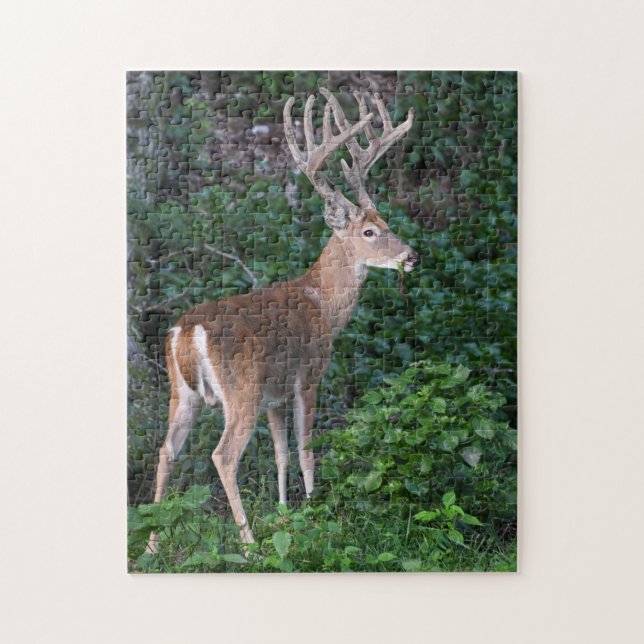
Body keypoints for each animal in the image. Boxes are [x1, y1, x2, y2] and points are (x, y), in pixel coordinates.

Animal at [145, 88, 419, 552]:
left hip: (183, 394)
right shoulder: (306, 377)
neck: (322, 304)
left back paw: (150, 544)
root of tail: (188, 331)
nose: (412, 255)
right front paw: (313, 510)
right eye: (369, 232)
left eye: (387, 222)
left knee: (166, 451)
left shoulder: (274, 396)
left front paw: (285, 512)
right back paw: (249, 543)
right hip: (242, 390)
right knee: (222, 455)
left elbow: (280, 453)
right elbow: (306, 448)